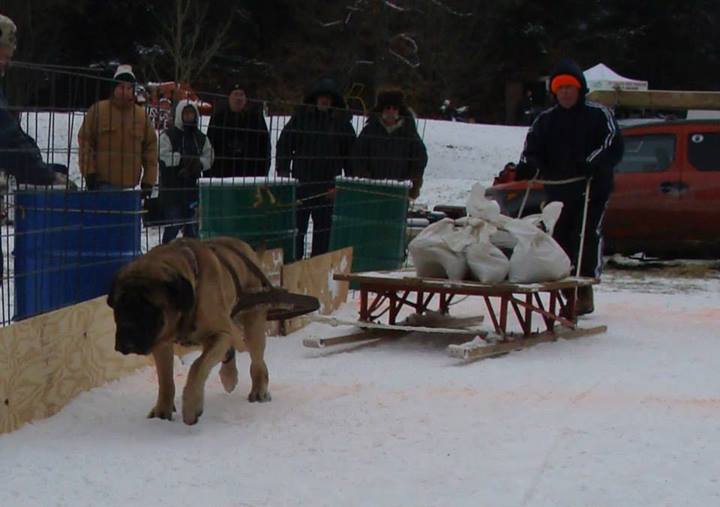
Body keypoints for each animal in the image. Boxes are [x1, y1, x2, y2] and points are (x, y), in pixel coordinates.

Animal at [107, 237, 282, 424]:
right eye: (118, 308)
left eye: (148, 309)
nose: (126, 337)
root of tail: (247, 249)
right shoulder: (161, 343)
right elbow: (165, 379)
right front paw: (162, 411)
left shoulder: (220, 334)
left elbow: (198, 366)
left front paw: (191, 406)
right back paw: (229, 376)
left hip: (252, 322)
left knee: (256, 360)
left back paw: (258, 390)